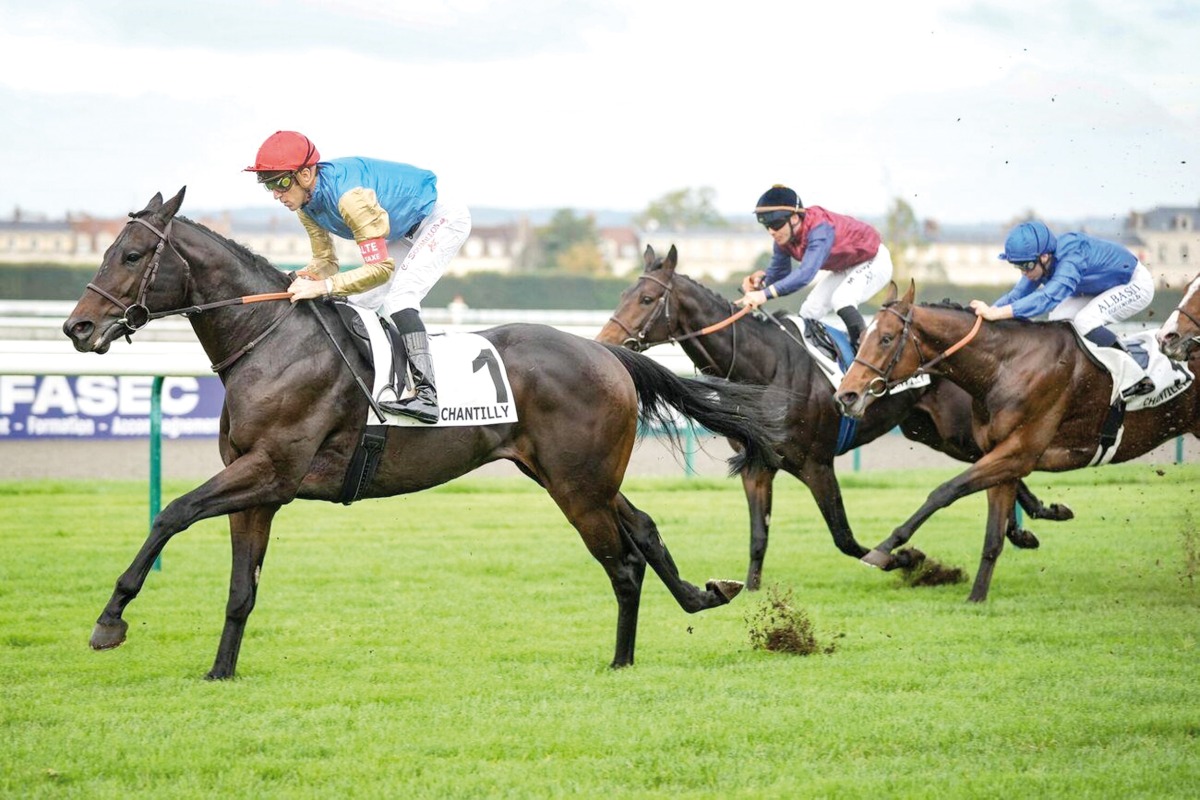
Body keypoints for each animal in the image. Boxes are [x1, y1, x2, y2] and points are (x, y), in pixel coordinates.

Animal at [63, 190, 787, 681]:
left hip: (578, 485)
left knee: (624, 561)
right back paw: (699, 598)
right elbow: (242, 588)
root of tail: (605, 352)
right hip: (573, 475)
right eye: (105, 250)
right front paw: (220, 671)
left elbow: (172, 513)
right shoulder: (258, 487)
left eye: (131, 254)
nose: (78, 327)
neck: (272, 342)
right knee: (645, 530)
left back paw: (623, 660)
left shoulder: (271, 470)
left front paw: (109, 621)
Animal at [600, 244, 1070, 587]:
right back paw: (1028, 523)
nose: (605, 341)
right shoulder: (758, 466)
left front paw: (904, 557)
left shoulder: (816, 463)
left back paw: (1032, 518)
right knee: (988, 463)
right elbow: (758, 537)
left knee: (998, 458)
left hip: (953, 427)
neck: (765, 368)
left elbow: (843, 537)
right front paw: (751, 591)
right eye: (621, 295)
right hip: (929, 431)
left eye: (646, 298)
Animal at [835, 281, 1200, 599]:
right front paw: (977, 598)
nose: (846, 395)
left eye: (886, 338)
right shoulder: (1000, 456)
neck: (1005, 367)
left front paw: (883, 549)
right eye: (861, 336)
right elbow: (992, 536)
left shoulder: (1018, 453)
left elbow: (945, 491)